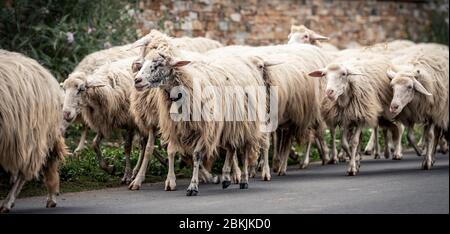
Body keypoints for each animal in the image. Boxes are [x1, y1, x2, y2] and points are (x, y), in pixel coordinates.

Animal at [132, 31, 268, 196]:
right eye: (144, 61)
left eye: (158, 65)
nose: (137, 80)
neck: (187, 83)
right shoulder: (177, 128)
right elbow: (170, 151)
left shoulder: (205, 128)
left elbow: (197, 155)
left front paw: (193, 186)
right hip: (230, 124)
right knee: (231, 148)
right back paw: (226, 178)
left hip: (246, 122)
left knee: (244, 150)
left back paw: (243, 179)